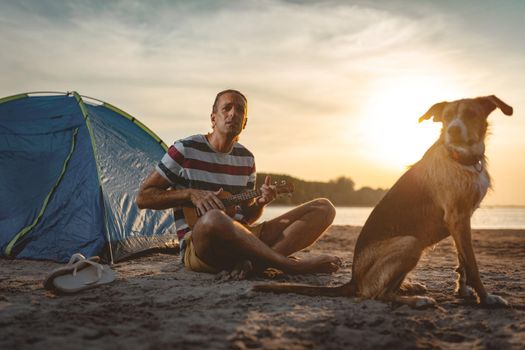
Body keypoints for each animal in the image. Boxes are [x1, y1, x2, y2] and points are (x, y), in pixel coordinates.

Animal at [254, 95, 512, 306]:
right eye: (446, 118)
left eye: (471, 114)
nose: (454, 131)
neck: (462, 159)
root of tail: (354, 278)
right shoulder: (457, 218)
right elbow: (472, 265)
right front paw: (486, 299)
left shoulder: (461, 219)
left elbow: (463, 262)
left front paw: (464, 291)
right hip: (411, 242)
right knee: (377, 294)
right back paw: (415, 300)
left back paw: (408, 286)